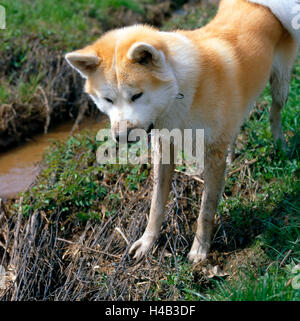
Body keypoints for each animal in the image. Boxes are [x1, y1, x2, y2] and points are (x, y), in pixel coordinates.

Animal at [66, 0, 300, 262]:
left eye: (136, 95)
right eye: (108, 99)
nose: (120, 137)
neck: (182, 92)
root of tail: (258, 5)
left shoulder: (211, 152)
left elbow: (206, 210)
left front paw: (200, 249)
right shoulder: (163, 149)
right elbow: (156, 205)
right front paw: (147, 242)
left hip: (280, 86)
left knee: (274, 115)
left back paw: (281, 147)